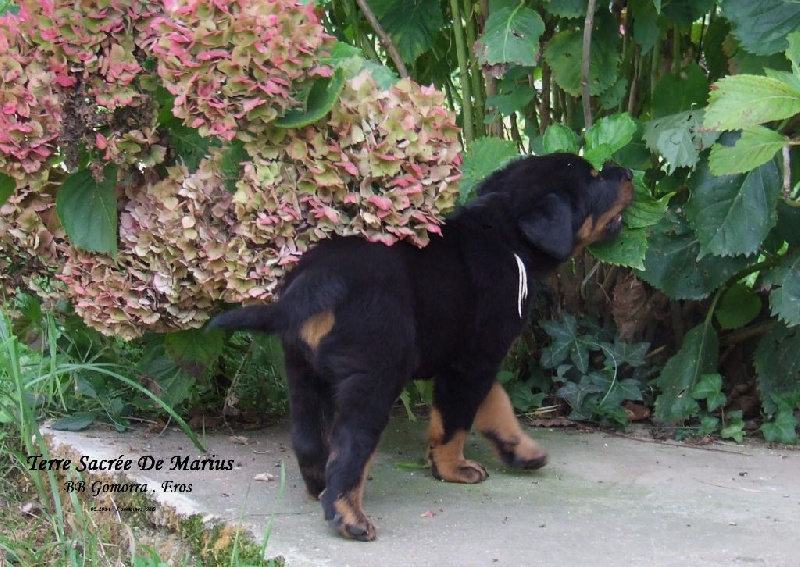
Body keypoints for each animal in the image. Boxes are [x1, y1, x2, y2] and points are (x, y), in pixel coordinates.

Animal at [209, 153, 636, 544]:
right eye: (595, 178)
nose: (628, 172)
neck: (504, 235)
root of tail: (315, 283)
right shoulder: (473, 361)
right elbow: (455, 422)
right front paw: (452, 469)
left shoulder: (469, 358)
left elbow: (495, 404)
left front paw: (522, 451)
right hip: (374, 376)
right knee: (350, 448)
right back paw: (348, 515)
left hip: (302, 372)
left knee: (309, 437)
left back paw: (319, 488)